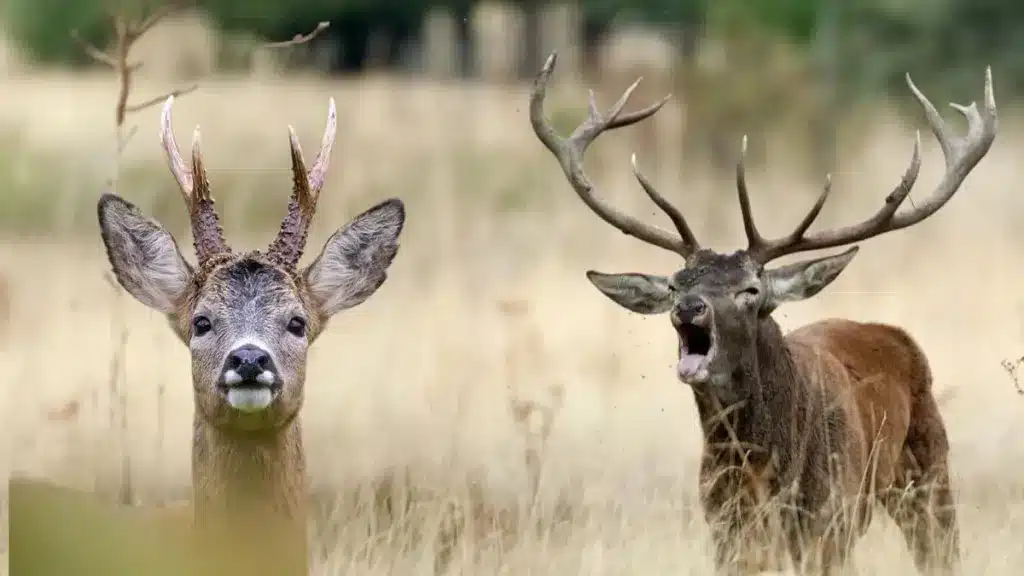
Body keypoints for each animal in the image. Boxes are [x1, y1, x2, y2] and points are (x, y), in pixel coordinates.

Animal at [529, 53, 996, 575]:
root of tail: (894, 335)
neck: (764, 469)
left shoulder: (829, 523)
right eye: (675, 284)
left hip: (929, 469)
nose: (689, 308)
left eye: (750, 289)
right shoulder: (726, 528)